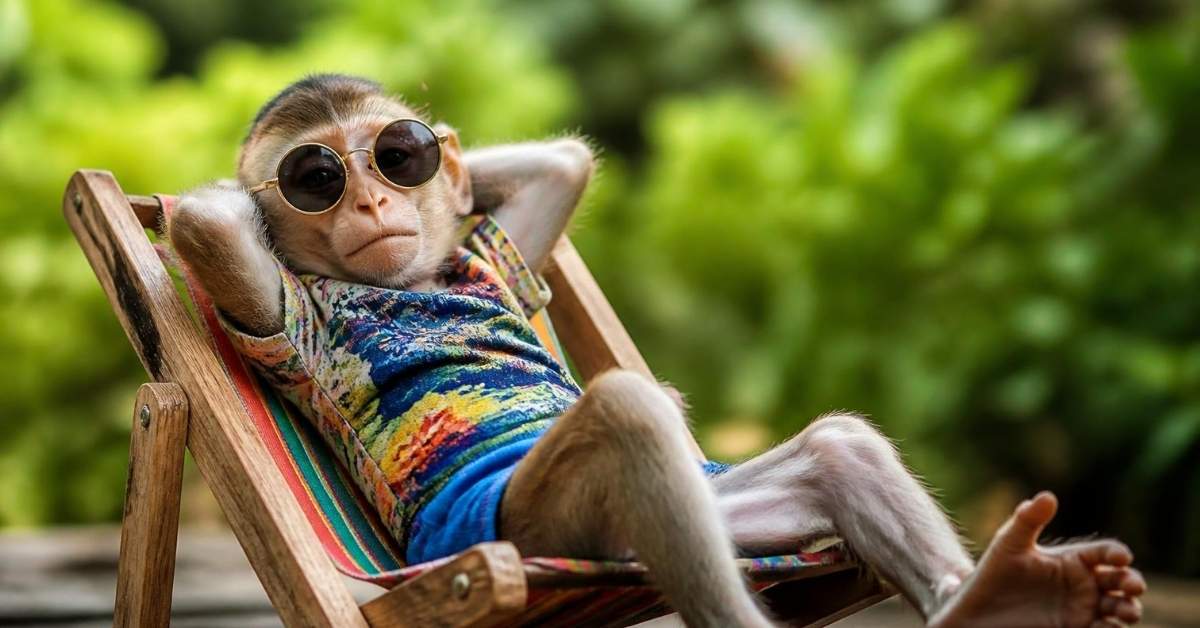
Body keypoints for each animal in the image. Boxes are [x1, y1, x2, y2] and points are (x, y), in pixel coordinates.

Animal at [169, 74, 1145, 628]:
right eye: (315, 179)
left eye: (394, 156)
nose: (372, 200)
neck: (414, 278)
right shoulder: (287, 314)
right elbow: (210, 224)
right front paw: (221, 198)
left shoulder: (501, 251)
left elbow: (557, 169)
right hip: (520, 528)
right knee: (631, 415)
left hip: (728, 502)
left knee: (839, 447)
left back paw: (993, 597)